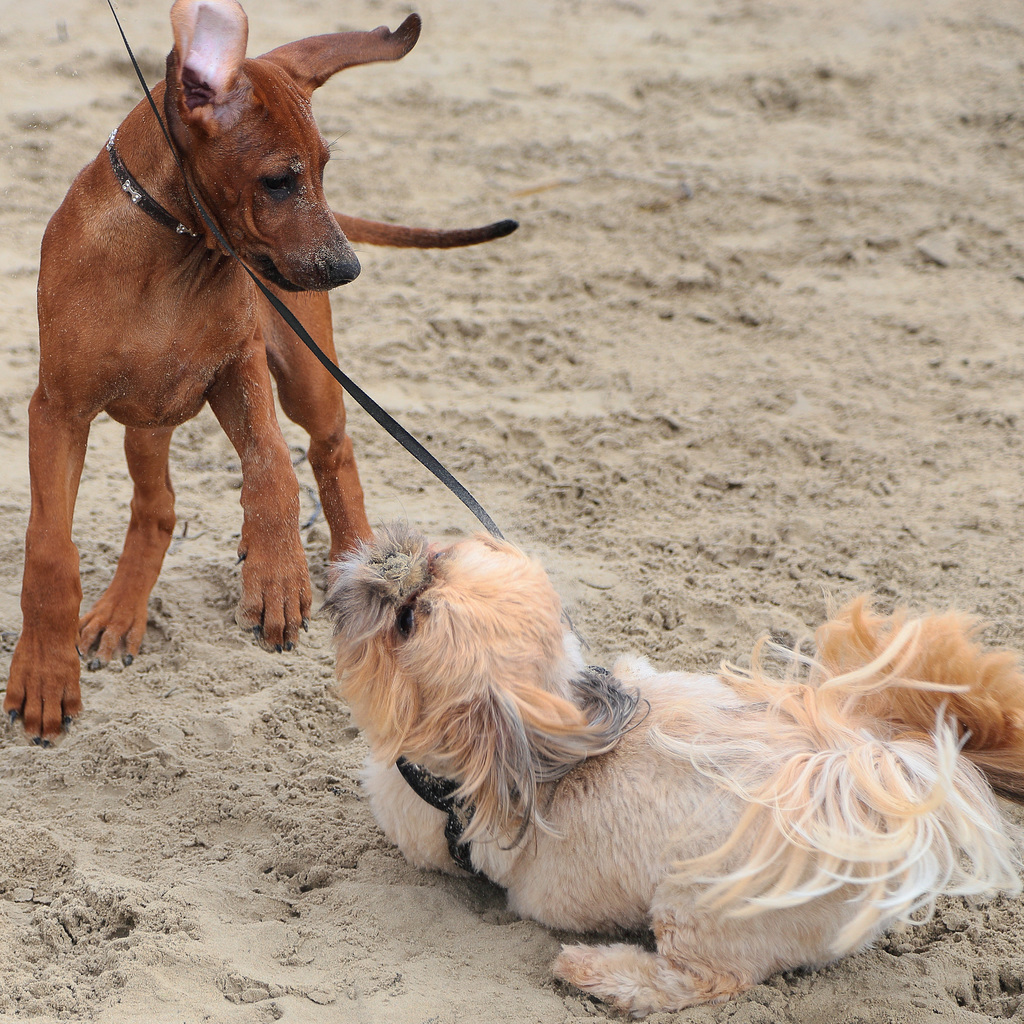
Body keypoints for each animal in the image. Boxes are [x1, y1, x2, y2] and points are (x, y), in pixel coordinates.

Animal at [7, 0, 516, 737]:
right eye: (279, 181)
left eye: (325, 168)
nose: (346, 268)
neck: (173, 253)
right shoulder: (57, 411)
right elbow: (50, 551)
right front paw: (45, 677)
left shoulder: (238, 364)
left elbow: (273, 462)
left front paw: (278, 576)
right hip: (146, 416)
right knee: (158, 508)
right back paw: (124, 614)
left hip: (306, 374)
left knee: (330, 451)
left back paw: (348, 568)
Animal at [327, 524, 1024, 1019]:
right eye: (441, 556)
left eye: (408, 620)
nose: (394, 564)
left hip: (694, 909)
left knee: (698, 981)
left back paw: (595, 971)